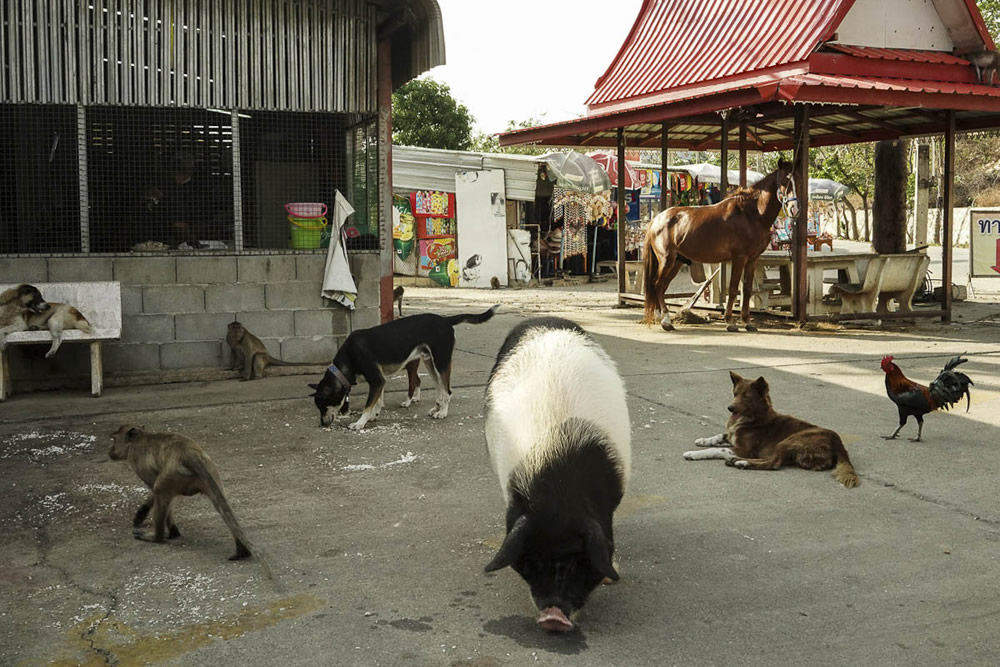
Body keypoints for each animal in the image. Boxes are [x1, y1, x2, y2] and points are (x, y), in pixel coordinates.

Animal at [109, 428, 272, 580]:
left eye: (114, 439)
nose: (110, 451)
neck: (139, 437)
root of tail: (189, 453)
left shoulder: (137, 460)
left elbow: (153, 489)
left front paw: (142, 514)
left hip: (172, 474)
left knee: (159, 490)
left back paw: (157, 537)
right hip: (208, 469)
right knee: (221, 506)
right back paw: (241, 551)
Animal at [310, 306, 498, 430]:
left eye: (323, 405)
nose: (322, 423)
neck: (349, 356)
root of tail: (445, 319)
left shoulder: (377, 380)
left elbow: (368, 405)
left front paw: (360, 423)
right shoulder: (379, 381)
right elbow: (377, 401)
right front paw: (373, 416)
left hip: (441, 361)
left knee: (447, 390)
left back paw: (443, 412)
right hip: (430, 363)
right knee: (440, 388)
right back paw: (436, 408)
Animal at [640, 159, 796, 332]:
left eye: (796, 180)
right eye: (784, 182)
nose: (793, 209)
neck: (751, 214)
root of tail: (657, 219)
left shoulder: (752, 260)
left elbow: (747, 290)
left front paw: (747, 322)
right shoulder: (739, 258)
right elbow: (733, 289)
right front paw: (730, 321)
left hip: (677, 262)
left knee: (662, 286)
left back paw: (661, 317)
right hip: (667, 260)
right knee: (658, 284)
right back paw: (666, 321)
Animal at [688, 370, 860, 490]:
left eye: (746, 397)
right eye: (735, 394)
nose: (730, 408)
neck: (755, 417)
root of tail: (839, 445)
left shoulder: (747, 450)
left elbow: (719, 449)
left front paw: (694, 454)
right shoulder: (732, 436)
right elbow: (720, 436)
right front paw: (703, 440)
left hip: (789, 440)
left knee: (774, 463)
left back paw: (742, 462)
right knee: (773, 459)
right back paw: (735, 461)